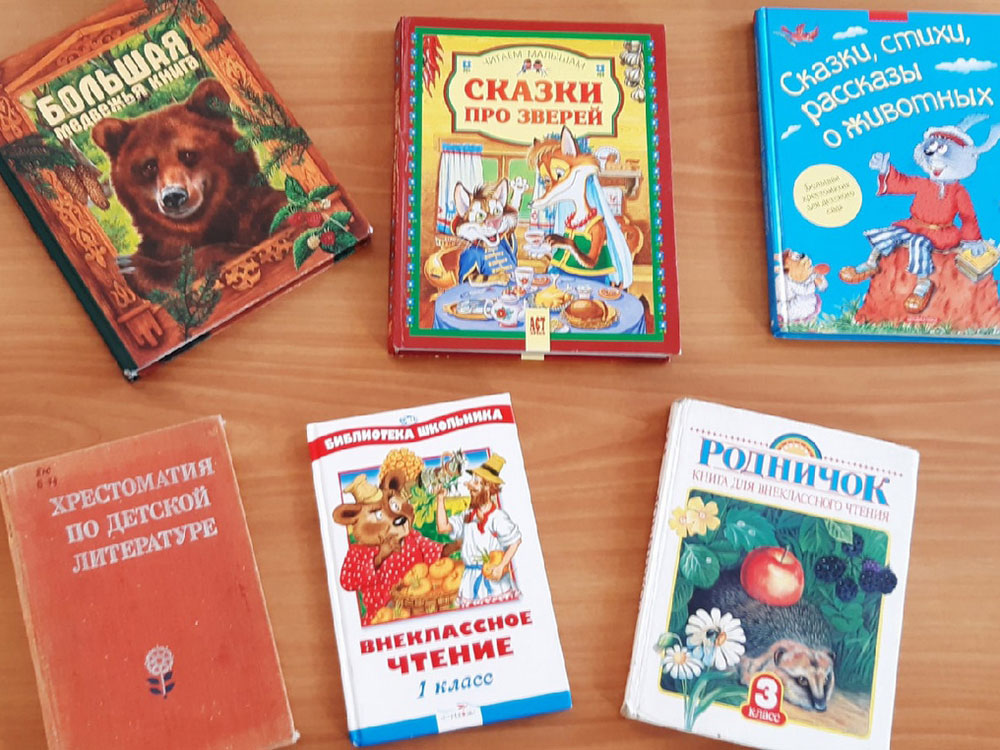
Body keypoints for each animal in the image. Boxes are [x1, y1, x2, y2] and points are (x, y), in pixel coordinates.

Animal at [528, 125, 638, 288]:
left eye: (560, 174)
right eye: (546, 180)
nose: (531, 204)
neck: (581, 214)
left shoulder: (599, 228)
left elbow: (590, 259)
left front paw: (560, 240)